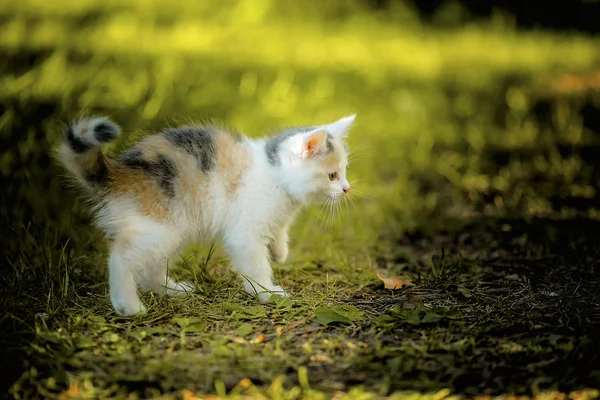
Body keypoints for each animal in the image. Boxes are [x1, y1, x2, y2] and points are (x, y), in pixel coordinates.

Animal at [58, 115, 354, 316]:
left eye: (344, 172)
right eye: (332, 175)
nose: (347, 188)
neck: (275, 175)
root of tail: (120, 173)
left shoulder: (277, 217)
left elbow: (280, 232)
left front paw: (279, 252)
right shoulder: (244, 234)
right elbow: (255, 265)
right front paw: (266, 292)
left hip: (173, 228)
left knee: (150, 267)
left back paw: (171, 290)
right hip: (158, 226)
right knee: (121, 258)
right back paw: (128, 306)